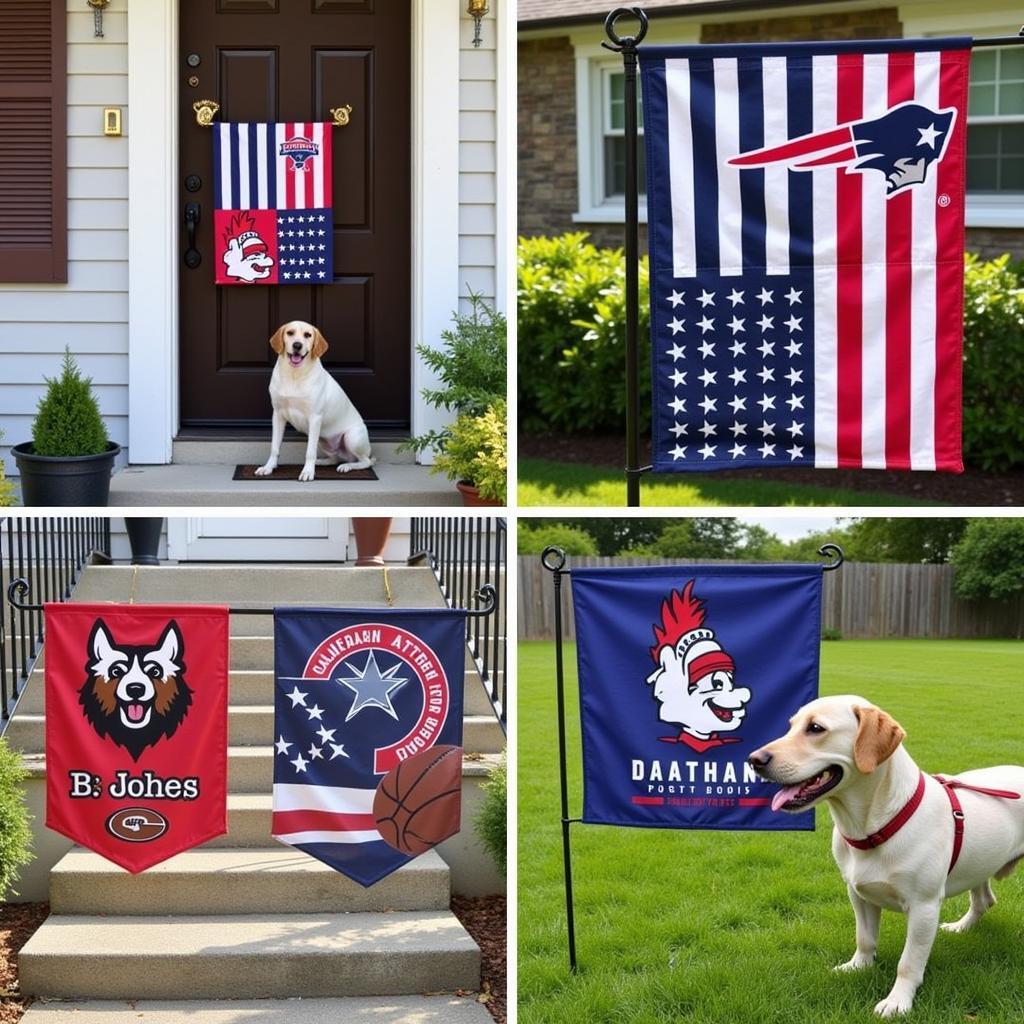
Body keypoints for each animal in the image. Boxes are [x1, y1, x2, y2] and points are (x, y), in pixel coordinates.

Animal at [256, 319, 376, 479]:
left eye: (308, 335)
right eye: (290, 333)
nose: (297, 345)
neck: (294, 375)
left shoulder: (315, 417)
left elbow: (310, 452)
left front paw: (307, 471)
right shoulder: (278, 415)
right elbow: (274, 447)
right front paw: (269, 467)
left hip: (352, 437)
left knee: (366, 461)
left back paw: (347, 466)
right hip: (323, 439)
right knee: (334, 458)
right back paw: (321, 462)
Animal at [745, 696, 1024, 1015]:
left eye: (815, 728)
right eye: (790, 726)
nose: (754, 759)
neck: (872, 828)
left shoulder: (924, 907)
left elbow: (909, 962)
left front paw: (897, 1001)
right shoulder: (858, 894)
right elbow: (864, 938)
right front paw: (858, 966)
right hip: (979, 865)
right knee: (983, 900)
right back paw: (960, 927)